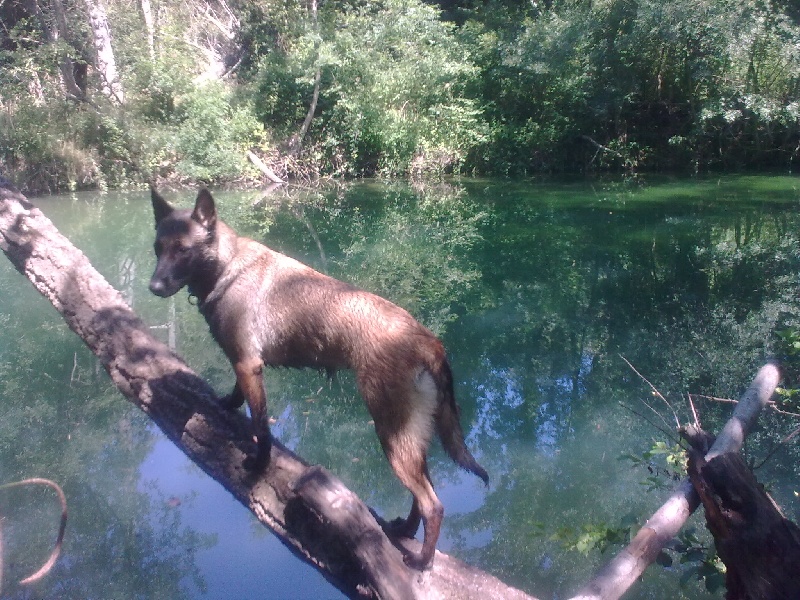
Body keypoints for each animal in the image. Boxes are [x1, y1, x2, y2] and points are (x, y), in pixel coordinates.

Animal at [149, 190, 488, 568]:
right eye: (157, 248)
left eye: (183, 250)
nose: (153, 286)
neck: (227, 266)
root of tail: (428, 340)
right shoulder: (244, 363)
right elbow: (239, 398)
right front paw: (227, 403)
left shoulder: (248, 365)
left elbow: (261, 428)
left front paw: (259, 465)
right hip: (411, 436)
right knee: (423, 496)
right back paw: (404, 532)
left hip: (392, 434)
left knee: (433, 505)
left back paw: (421, 561)